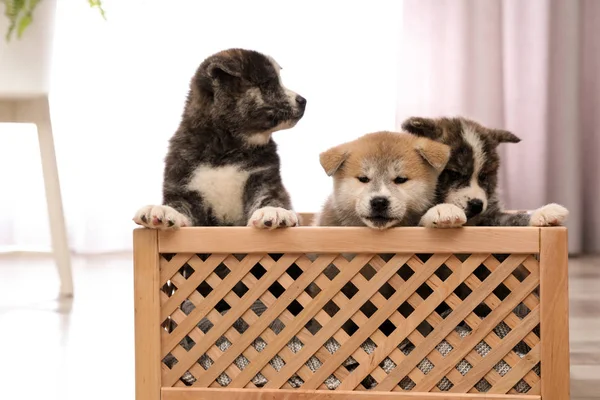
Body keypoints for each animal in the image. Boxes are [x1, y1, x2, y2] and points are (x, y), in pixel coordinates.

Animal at [134, 47, 308, 228]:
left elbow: (271, 199)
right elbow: (179, 206)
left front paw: (275, 211)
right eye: (267, 84)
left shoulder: (264, 180)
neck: (226, 146)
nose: (303, 101)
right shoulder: (185, 188)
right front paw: (162, 210)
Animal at [400, 116, 568, 228]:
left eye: (483, 176)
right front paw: (444, 209)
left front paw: (542, 213)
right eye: (453, 173)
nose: (477, 205)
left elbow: (511, 219)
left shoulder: (488, 218)